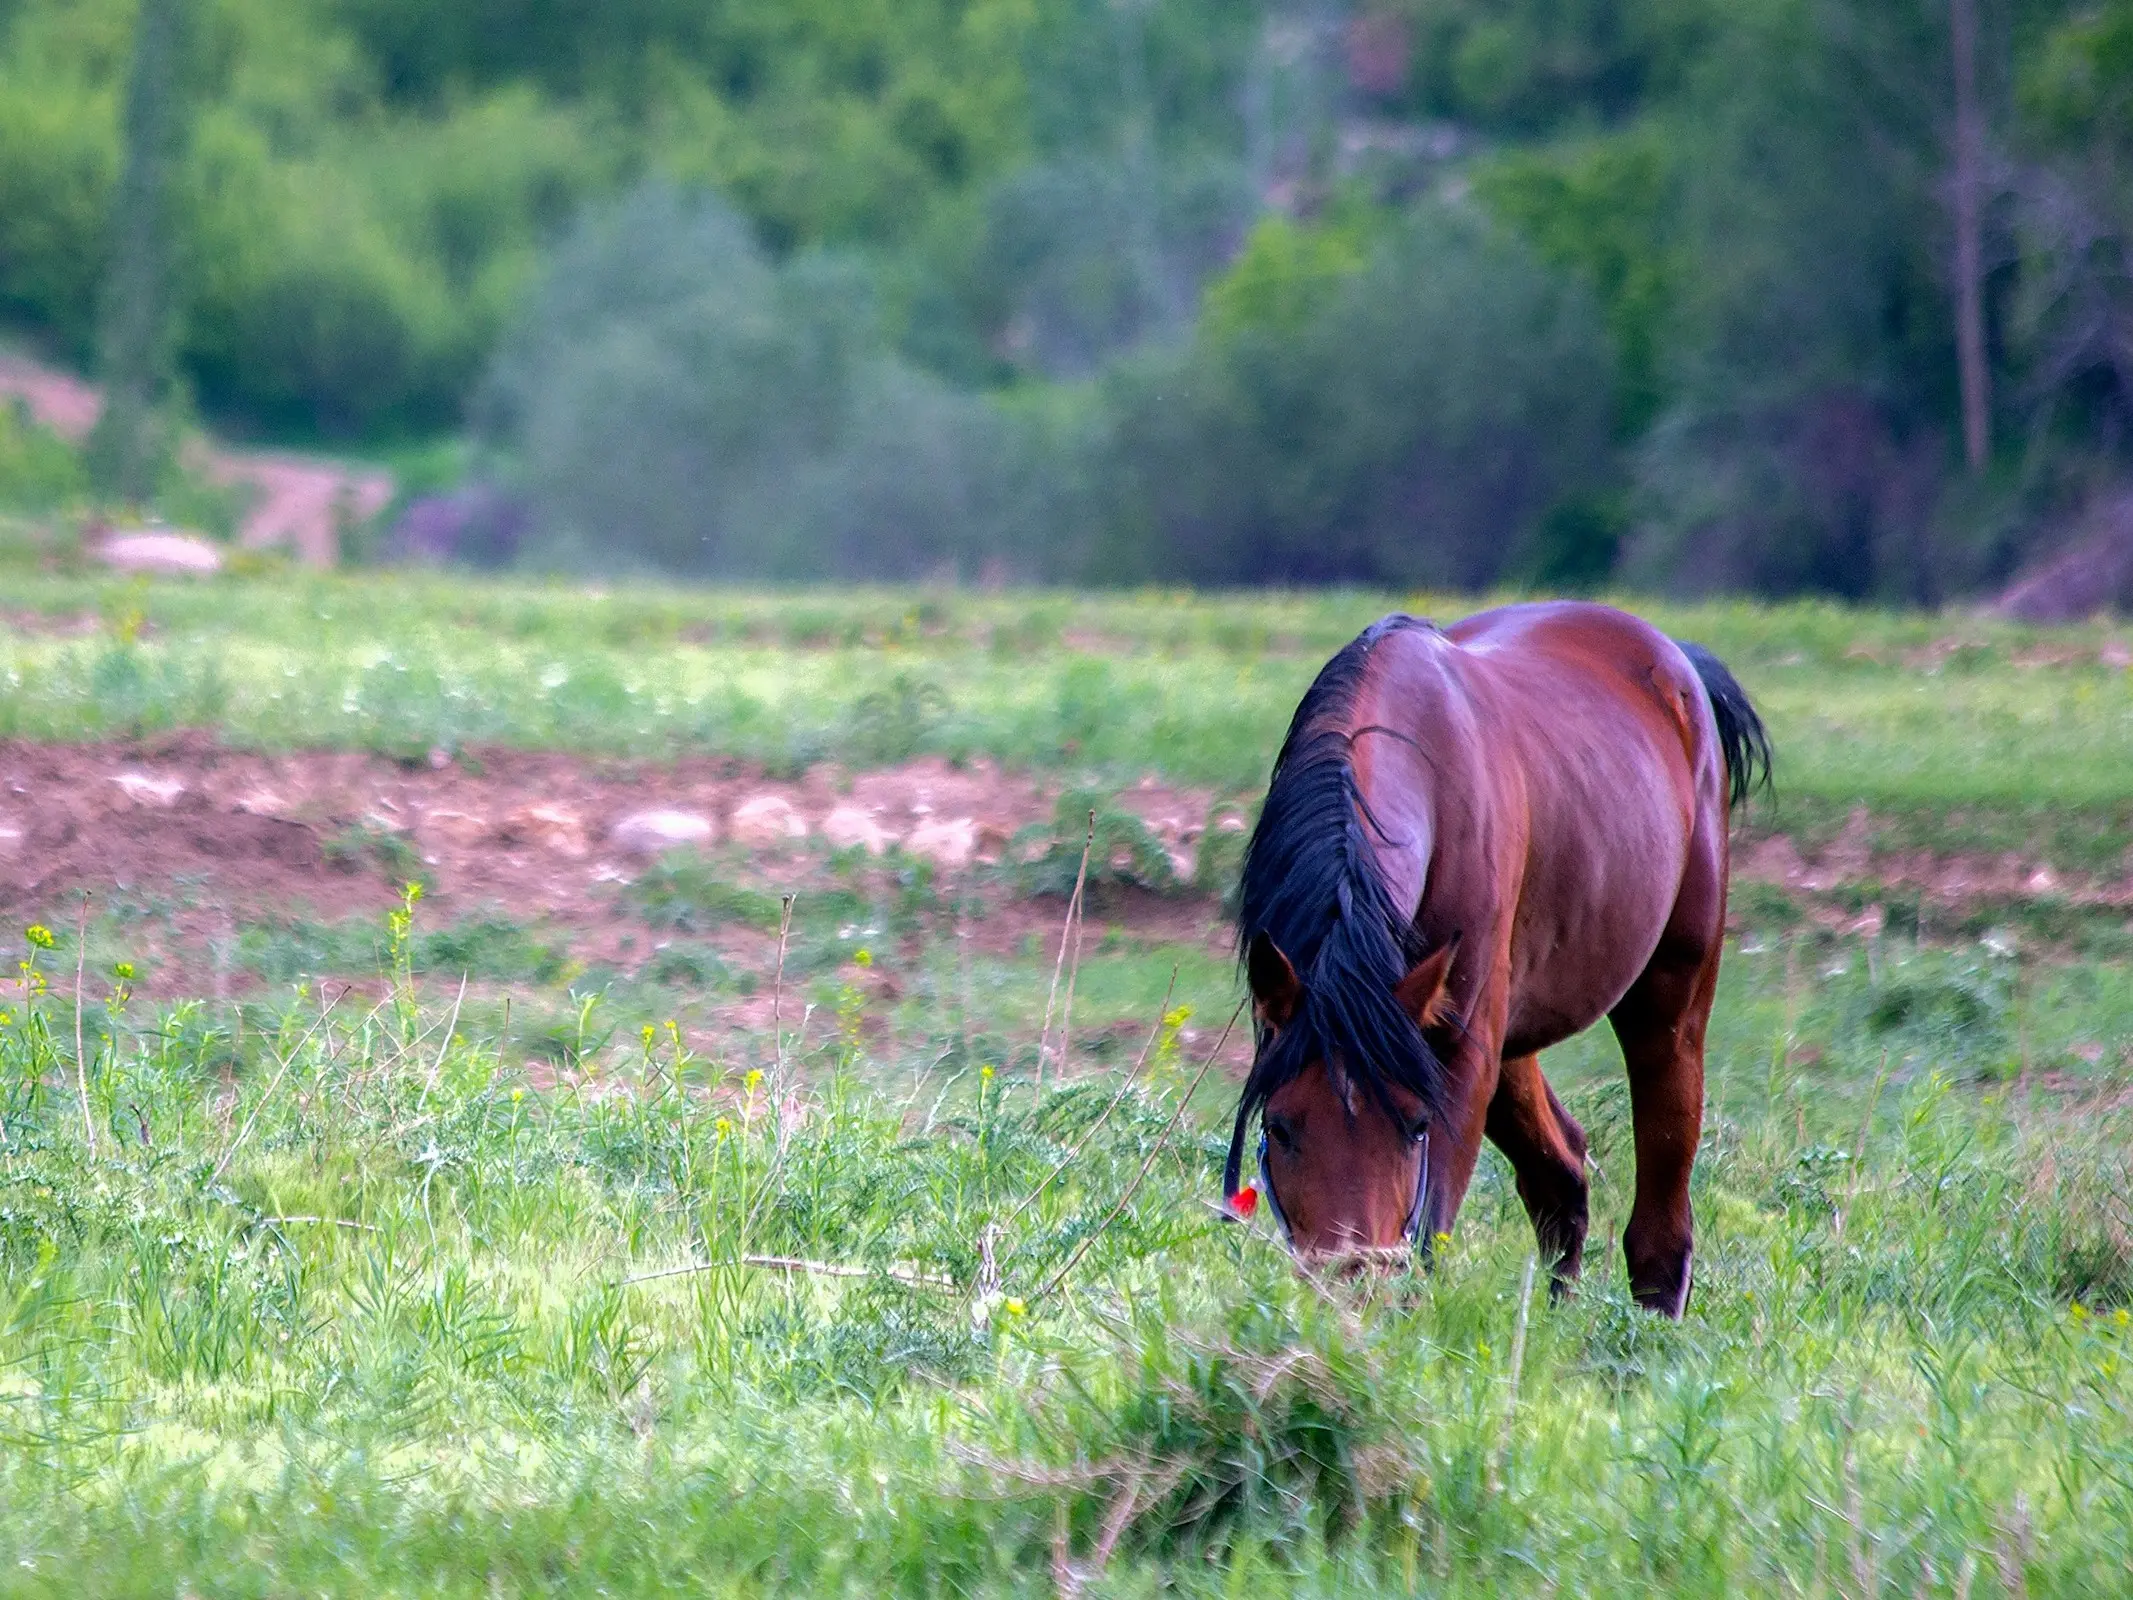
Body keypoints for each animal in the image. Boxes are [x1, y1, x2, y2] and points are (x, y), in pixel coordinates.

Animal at [1228, 601, 1774, 1314]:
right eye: (1282, 1127)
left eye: (1415, 1127)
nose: (1351, 1291)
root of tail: (1678, 665)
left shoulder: (1460, 1052)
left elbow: (1428, 1235)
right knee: (1561, 1173)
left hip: (1669, 994)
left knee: (1661, 1212)